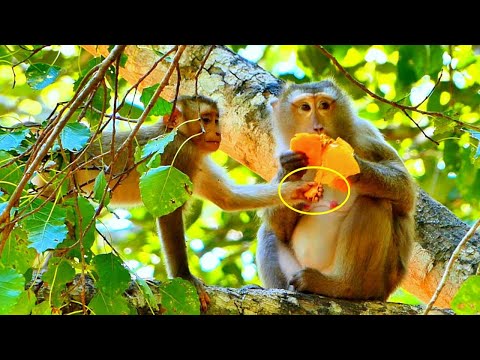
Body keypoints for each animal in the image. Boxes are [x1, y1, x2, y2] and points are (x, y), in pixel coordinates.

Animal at [255, 81, 416, 300]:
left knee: (374, 201)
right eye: (305, 107)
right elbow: (279, 228)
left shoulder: (364, 135)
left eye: (324, 105)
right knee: (269, 232)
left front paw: (346, 163)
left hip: (382, 279)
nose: (318, 127)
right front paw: (290, 170)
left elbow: (405, 190)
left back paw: (345, 286)